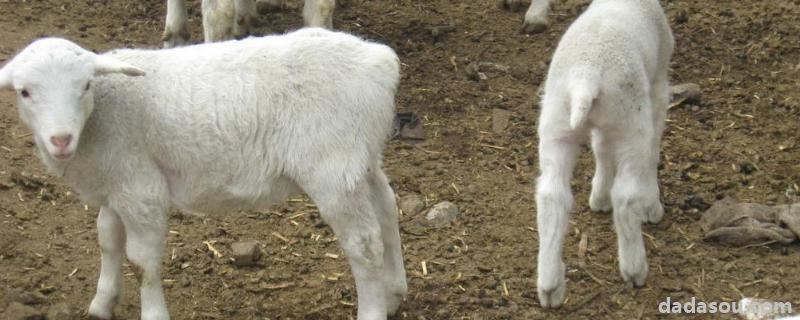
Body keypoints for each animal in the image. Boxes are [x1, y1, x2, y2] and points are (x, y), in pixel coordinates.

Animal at [0, 28, 410, 320]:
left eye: (85, 85)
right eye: (24, 92)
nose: (60, 139)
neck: (100, 116)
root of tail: (379, 61)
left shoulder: (141, 189)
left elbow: (141, 261)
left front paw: (153, 313)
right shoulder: (116, 185)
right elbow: (108, 241)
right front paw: (102, 304)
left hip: (332, 167)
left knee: (364, 243)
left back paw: (372, 310)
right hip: (361, 157)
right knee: (387, 209)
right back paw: (394, 293)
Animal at [536, 0, 672, 308]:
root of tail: (585, 78)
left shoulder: (603, 126)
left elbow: (601, 149)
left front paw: (598, 197)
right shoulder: (658, 86)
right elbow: (652, 150)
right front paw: (651, 205)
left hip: (556, 122)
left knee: (551, 196)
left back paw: (550, 286)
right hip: (631, 121)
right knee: (626, 196)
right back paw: (634, 269)